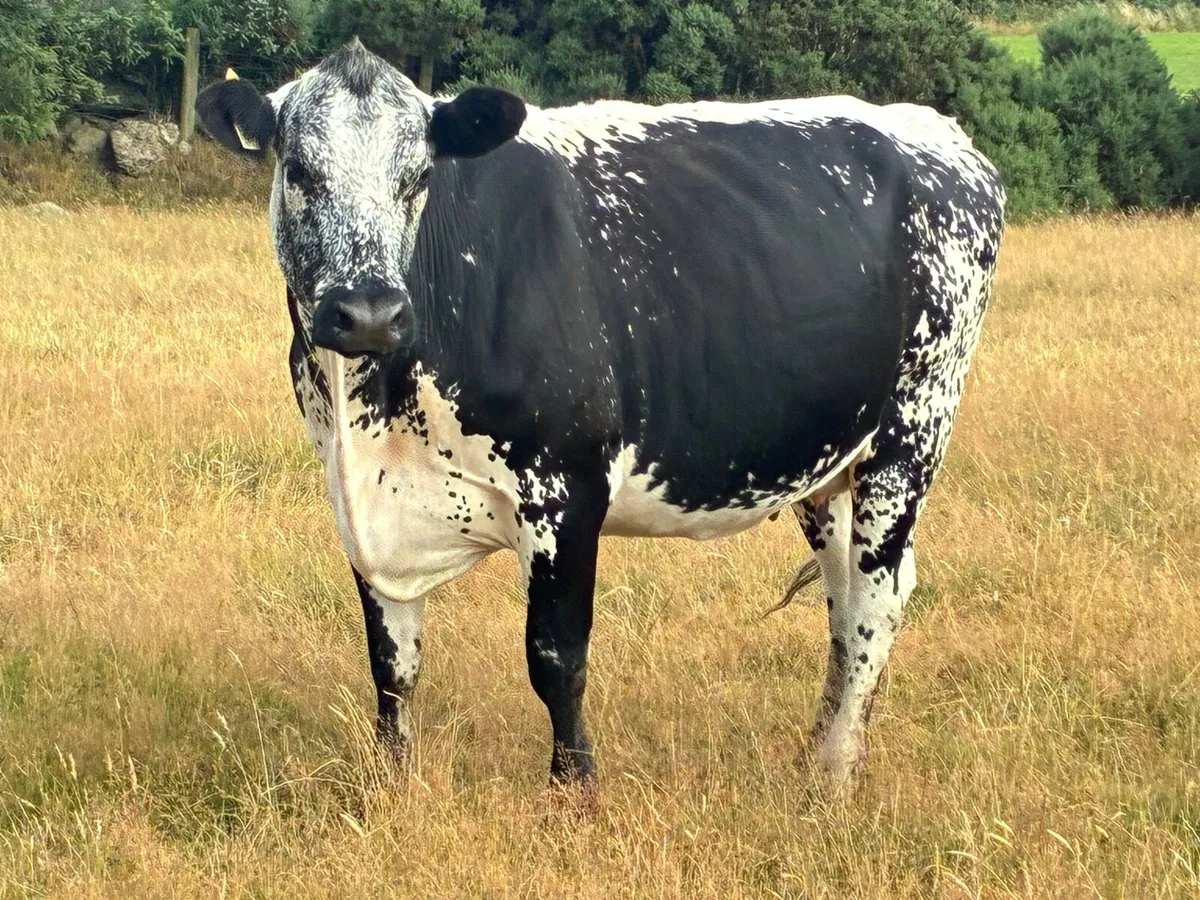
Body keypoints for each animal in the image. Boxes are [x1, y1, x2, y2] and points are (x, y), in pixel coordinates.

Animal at [196, 38, 1004, 792]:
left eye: (419, 176)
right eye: (300, 171)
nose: (368, 312)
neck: (375, 414)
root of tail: (932, 130)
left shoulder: (567, 489)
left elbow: (555, 658)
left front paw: (574, 790)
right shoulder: (360, 503)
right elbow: (391, 664)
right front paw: (392, 784)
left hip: (912, 432)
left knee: (876, 598)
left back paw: (833, 776)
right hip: (828, 462)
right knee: (841, 600)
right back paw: (820, 751)